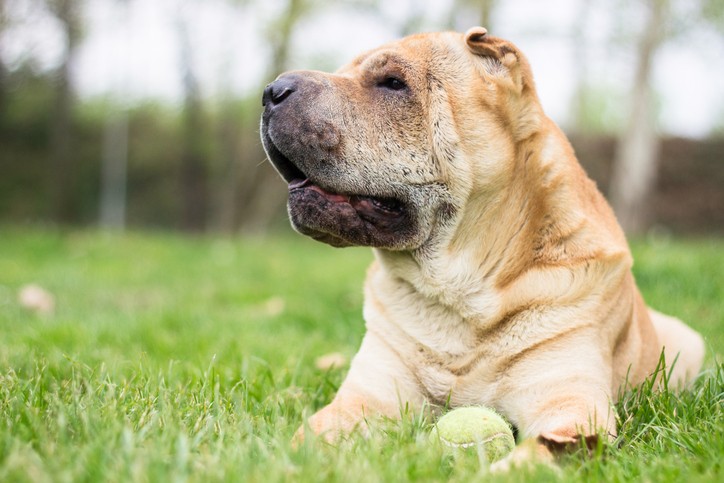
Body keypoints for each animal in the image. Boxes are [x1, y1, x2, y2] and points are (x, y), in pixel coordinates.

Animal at [258, 27, 700, 468]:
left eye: (393, 83)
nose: (272, 90)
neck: (458, 294)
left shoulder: (569, 403)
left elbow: (533, 457)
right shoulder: (367, 397)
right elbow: (307, 440)